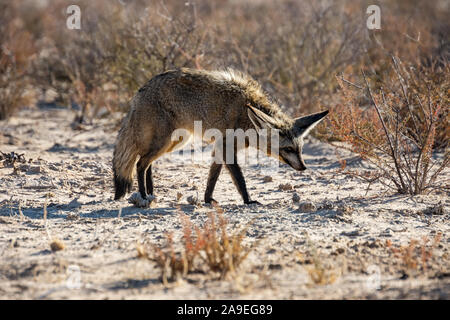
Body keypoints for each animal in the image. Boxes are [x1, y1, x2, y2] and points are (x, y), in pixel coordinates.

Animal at [114, 69, 328, 206]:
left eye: (300, 150)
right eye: (288, 149)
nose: (304, 167)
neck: (246, 116)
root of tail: (140, 91)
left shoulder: (220, 148)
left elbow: (212, 178)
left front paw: (207, 200)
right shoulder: (226, 147)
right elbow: (239, 180)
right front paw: (248, 200)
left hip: (175, 141)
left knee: (147, 163)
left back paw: (152, 193)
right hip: (166, 142)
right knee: (141, 163)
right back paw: (143, 197)